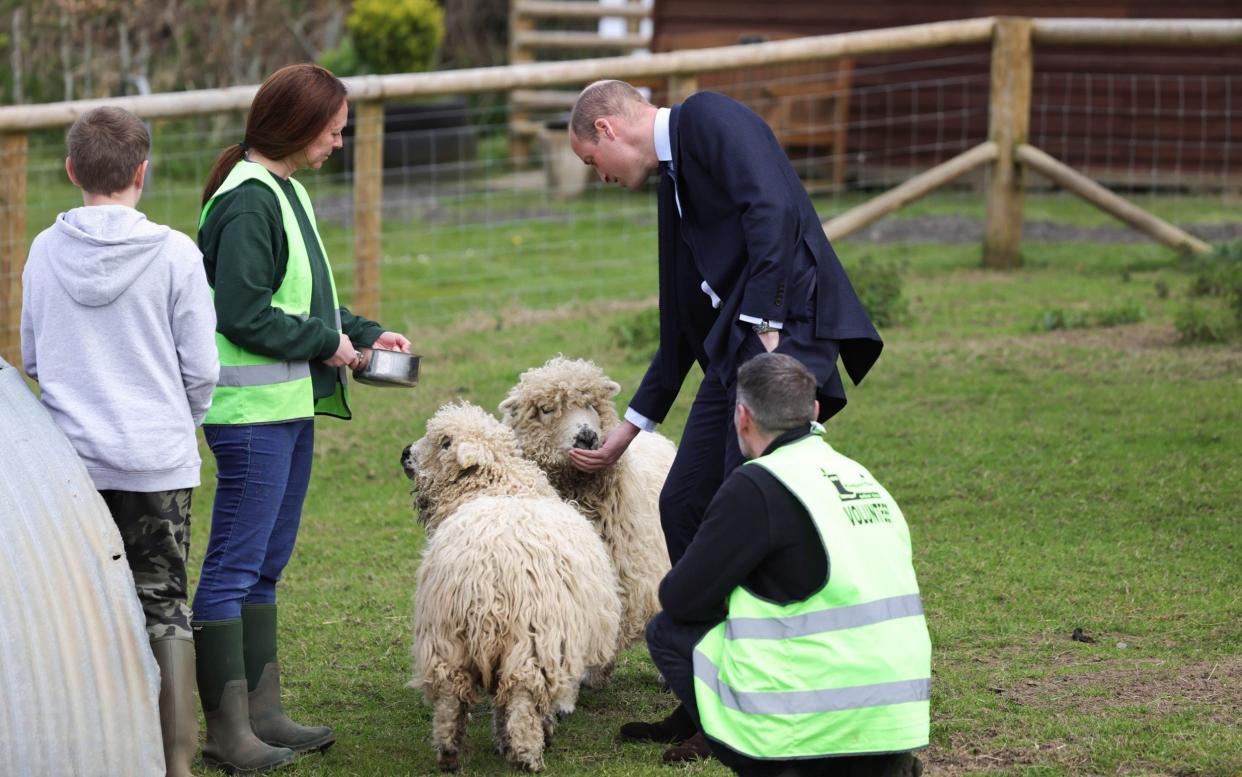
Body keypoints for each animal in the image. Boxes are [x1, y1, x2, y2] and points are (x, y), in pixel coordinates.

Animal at [399, 399, 618, 769]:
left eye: (445, 443)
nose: (404, 454)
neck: (498, 485)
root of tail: (485, 576)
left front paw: (502, 740)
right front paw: (533, 734)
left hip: (446, 634)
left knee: (450, 696)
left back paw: (450, 752)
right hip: (529, 638)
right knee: (522, 697)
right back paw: (528, 755)